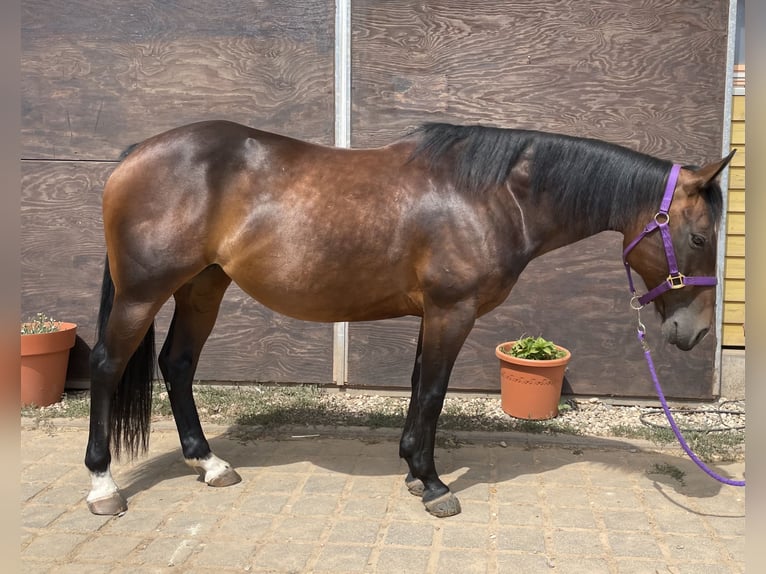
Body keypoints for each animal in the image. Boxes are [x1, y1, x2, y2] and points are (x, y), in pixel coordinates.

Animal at [84, 120, 733, 518]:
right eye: (700, 238)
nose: (696, 331)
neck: (493, 196)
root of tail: (134, 156)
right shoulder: (452, 311)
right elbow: (435, 391)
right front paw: (435, 483)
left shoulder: (433, 314)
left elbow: (421, 386)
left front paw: (414, 471)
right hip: (143, 294)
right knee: (107, 367)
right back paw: (103, 486)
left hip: (203, 287)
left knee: (177, 364)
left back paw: (209, 463)